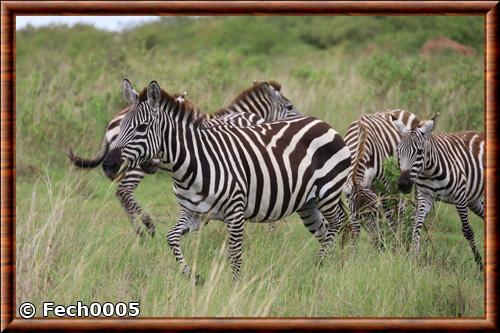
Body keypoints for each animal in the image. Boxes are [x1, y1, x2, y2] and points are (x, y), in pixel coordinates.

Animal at [103, 79, 350, 282]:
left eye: (141, 127)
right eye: (123, 126)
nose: (108, 165)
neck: (190, 165)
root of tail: (322, 123)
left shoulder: (235, 213)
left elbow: (235, 253)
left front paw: (235, 288)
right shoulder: (194, 215)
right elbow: (171, 238)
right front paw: (194, 277)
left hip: (327, 192)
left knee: (339, 222)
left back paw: (325, 263)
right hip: (307, 203)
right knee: (325, 230)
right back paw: (325, 268)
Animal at [390, 114, 484, 270]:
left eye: (419, 152)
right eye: (398, 151)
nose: (403, 185)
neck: (430, 172)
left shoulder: (460, 198)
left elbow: (467, 231)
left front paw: (480, 264)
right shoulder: (425, 197)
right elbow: (416, 226)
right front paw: (413, 258)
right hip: (475, 201)